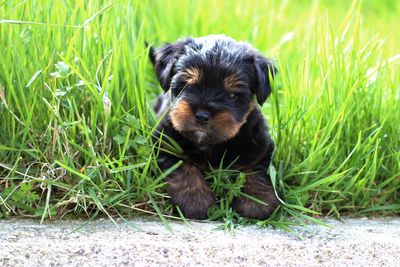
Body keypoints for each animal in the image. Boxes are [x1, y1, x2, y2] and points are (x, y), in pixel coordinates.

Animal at [149, 34, 278, 221]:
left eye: (232, 95)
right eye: (187, 85)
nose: (202, 115)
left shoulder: (260, 146)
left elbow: (257, 170)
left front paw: (257, 202)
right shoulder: (165, 141)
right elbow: (182, 166)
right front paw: (195, 201)